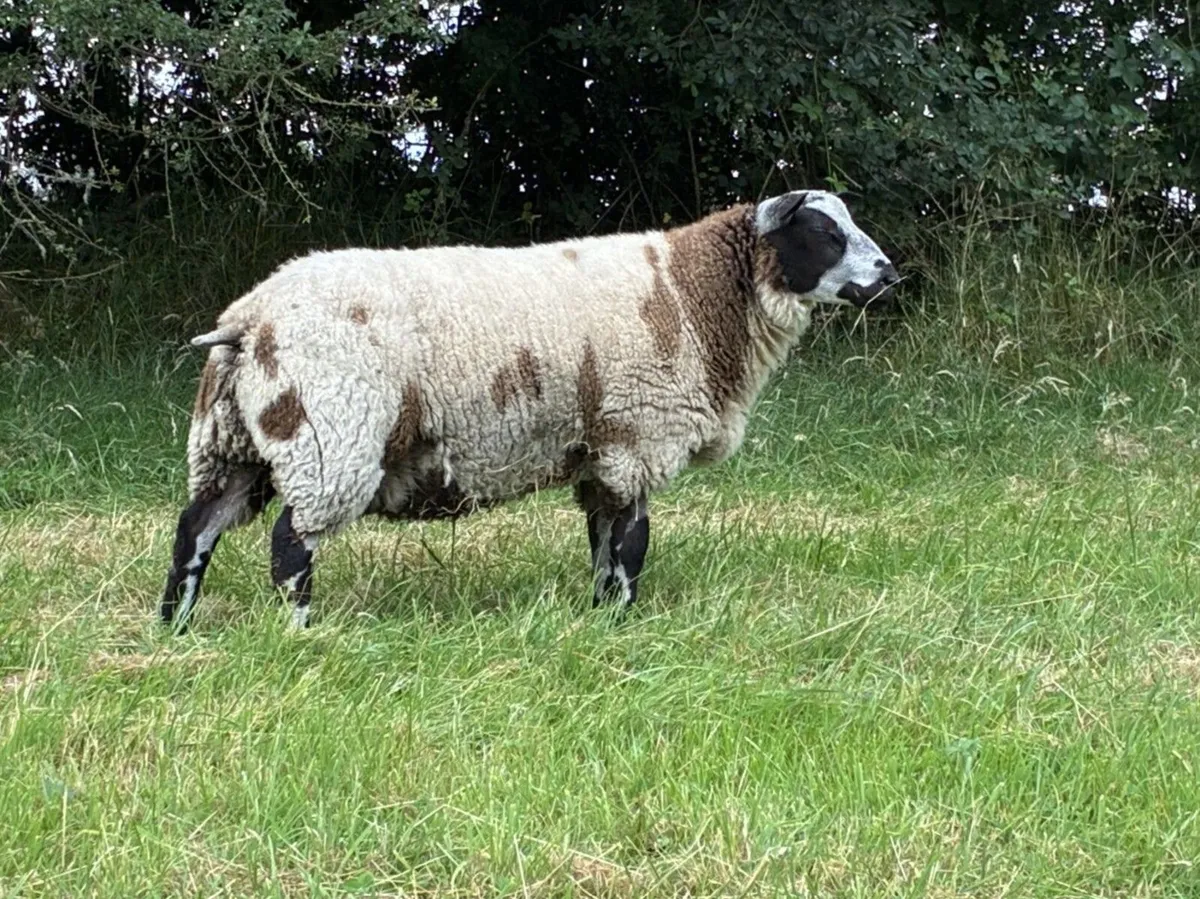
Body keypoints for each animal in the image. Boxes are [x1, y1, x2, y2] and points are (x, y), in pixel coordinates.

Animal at [160, 189, 898, 632]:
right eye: (824, 231)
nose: (889, 275)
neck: (692, 294)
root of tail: (247, 320)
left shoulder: (602, 450)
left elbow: (603, 539)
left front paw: (601, 614)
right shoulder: (638, 435)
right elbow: (633, 542)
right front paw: (624, 621)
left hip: (234, 444)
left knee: (196, 528)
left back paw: (175, 625)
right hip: (329, 437)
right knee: (290, 545)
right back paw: (300, 631)